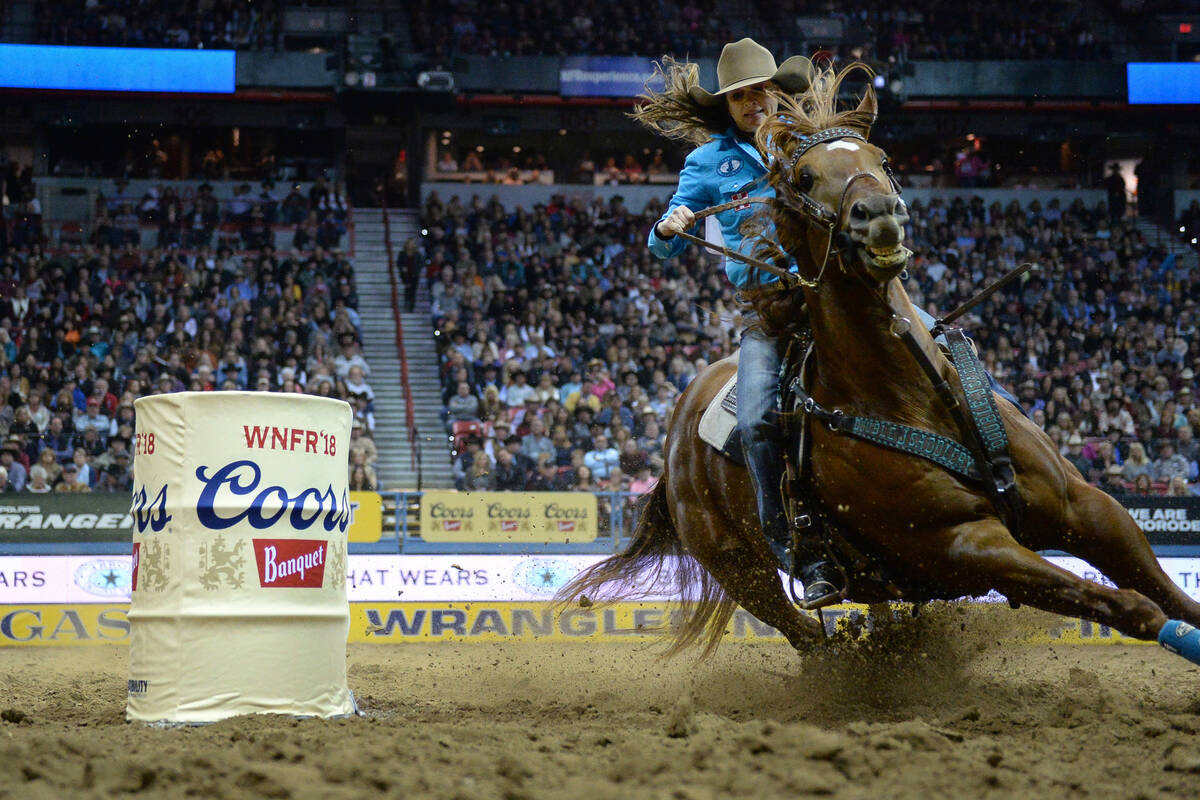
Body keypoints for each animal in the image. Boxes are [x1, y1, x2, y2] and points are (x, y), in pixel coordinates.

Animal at [554, 64, 1200, 662]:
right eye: (805, 176)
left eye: (882, 158)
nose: (878, 214)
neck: (913, 395)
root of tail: (674, 449)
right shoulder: (966, 546)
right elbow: (1131, 606)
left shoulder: (1085, 507)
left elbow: (1166, 589)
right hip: (744, 572)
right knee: (811, 641)